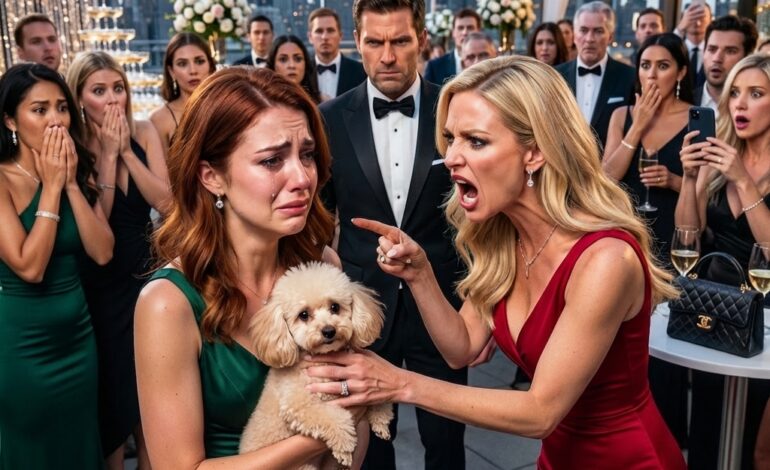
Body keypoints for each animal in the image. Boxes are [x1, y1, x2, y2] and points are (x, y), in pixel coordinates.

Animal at [239, 261, 394, 468]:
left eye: (335, 307)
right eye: (303, 315)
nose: (329, 331)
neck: (324, 357)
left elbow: (377, 397)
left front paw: (381, 418)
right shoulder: (299, 404)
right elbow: (334, 417)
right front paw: (344, 444)